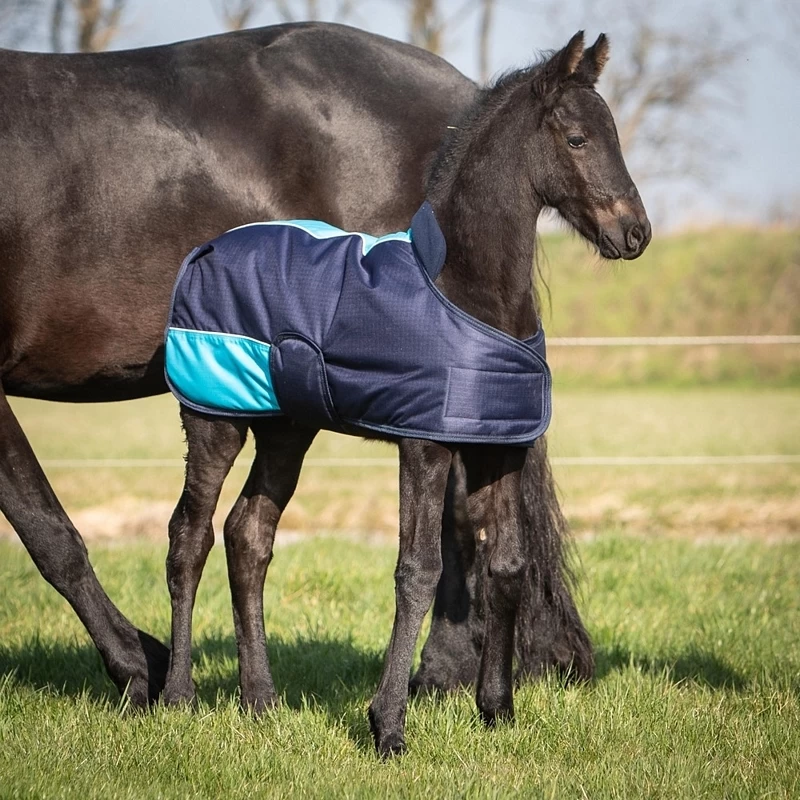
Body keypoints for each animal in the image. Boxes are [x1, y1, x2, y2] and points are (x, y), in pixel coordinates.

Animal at [0, 22, 592, 709]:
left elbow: (47, 529)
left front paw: (138, 666)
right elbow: (49, 525)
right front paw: (150, 667)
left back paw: (438, 674)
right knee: (235, 533)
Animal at [163, 31, 650, 756]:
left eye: (613, 133)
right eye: (577, 138)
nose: (635, 233)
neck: (463, 290)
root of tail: (205, 252)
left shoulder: (498, 447)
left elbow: (506, 566)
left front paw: (497, 710)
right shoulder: (424, 446)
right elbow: (416, 570)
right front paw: (387, 725)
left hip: (287, 429)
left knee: (248, 534)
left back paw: (261, 703)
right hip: (214, 416)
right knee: (188, 536)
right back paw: (176, 697)